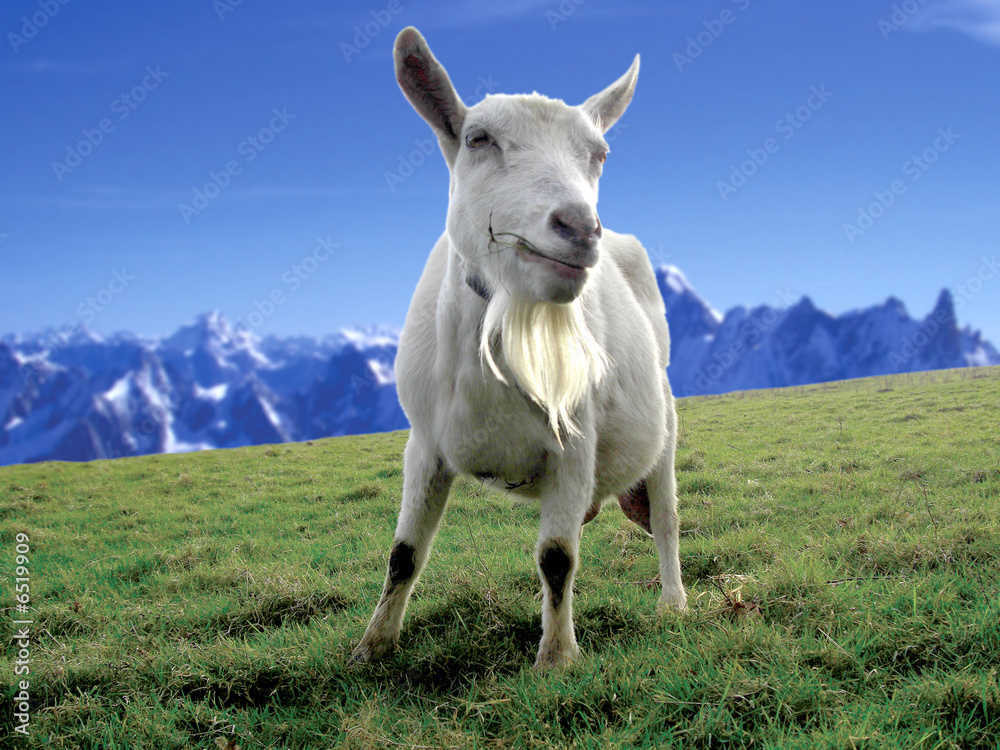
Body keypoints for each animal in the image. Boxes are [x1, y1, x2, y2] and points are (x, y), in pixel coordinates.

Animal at [353, 27, 686, 669]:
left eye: (599, 154)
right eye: (477, 139)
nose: (579, 227)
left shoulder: (575, 443)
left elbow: (557, 557)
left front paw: (556, 659)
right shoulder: (424, 442)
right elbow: (403, 554)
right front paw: (370, 647)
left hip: (665, 424)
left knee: (666, 518)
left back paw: (674, 603)